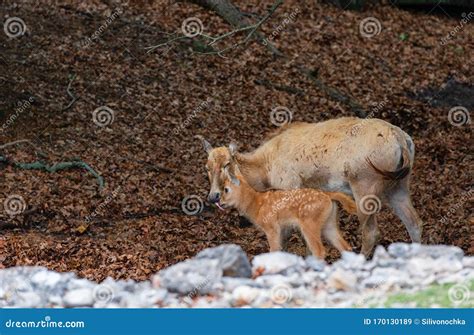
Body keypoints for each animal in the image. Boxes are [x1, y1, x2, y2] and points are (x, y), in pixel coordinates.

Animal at [196, 117, 422, 256]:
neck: (265, 168)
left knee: (371, 232)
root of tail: (402, 140)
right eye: (206, 167)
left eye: (227, 164)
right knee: (414, 222)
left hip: (365, 184)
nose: (213, 196)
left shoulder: (289, 186)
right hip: (398, 185)